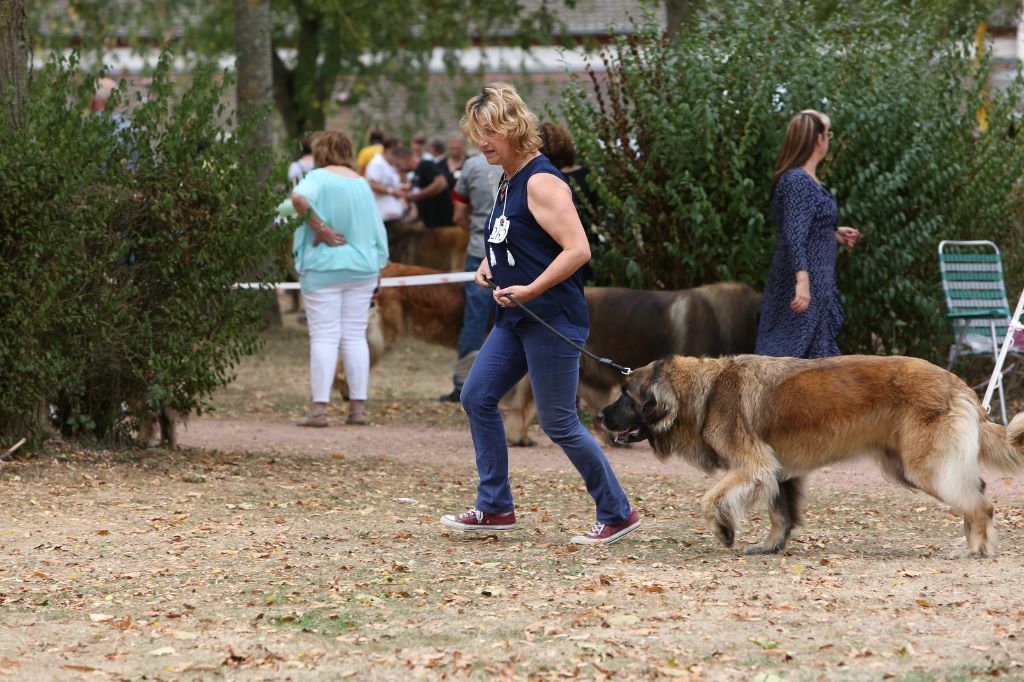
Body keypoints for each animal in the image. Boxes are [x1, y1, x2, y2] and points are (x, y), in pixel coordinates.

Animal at [598, 352, 1024, 557]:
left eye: (627, 396)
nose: (600, 416)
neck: (708, 390)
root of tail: (960, 385)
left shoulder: (754, 465)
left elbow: (709, 500)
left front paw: (724, 529)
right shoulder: (778, 471)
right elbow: (779, 513)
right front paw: (770, 546)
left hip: (925, 467)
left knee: (980, 504)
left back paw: (973, 549)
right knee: (977, 491)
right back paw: (975, 542)